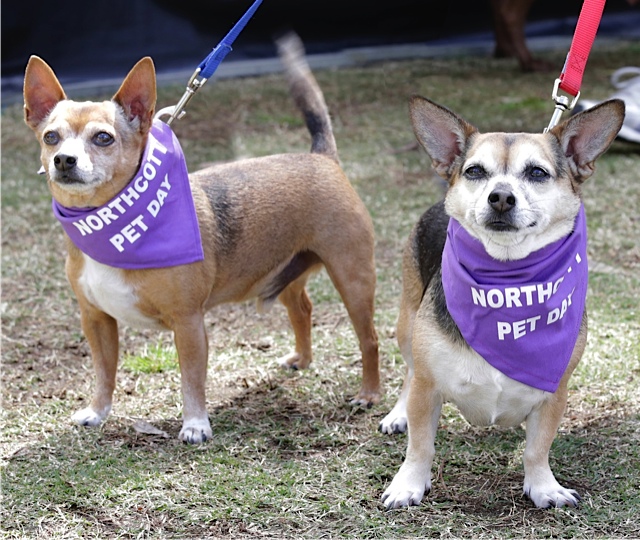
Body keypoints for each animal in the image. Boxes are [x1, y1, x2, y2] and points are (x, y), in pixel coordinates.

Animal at [25, 31, 380, 442]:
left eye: (103, 138)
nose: (63, 160)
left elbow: (191, 378)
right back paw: (302, 359)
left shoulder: (188, 323)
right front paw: (98, 411)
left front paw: (195, 424)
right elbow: (104, 372)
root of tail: (322, 157)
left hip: (353, 281)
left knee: (369, 338)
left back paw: (369, 394)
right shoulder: (95, 319)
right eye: (51, 137)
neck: (109, 224)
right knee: (302, 309)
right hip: (287, 273)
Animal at [380, 96, 624, 506]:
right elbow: (421, 445)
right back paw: (397, 414)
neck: (506, 280)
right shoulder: (427, 388)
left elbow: (537, 449)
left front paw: (544, 487)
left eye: (537, 173)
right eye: (475, 171)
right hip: (407, 324)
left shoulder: (554, 392)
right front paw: (408, 483)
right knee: (409, 372)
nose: (501, 197)